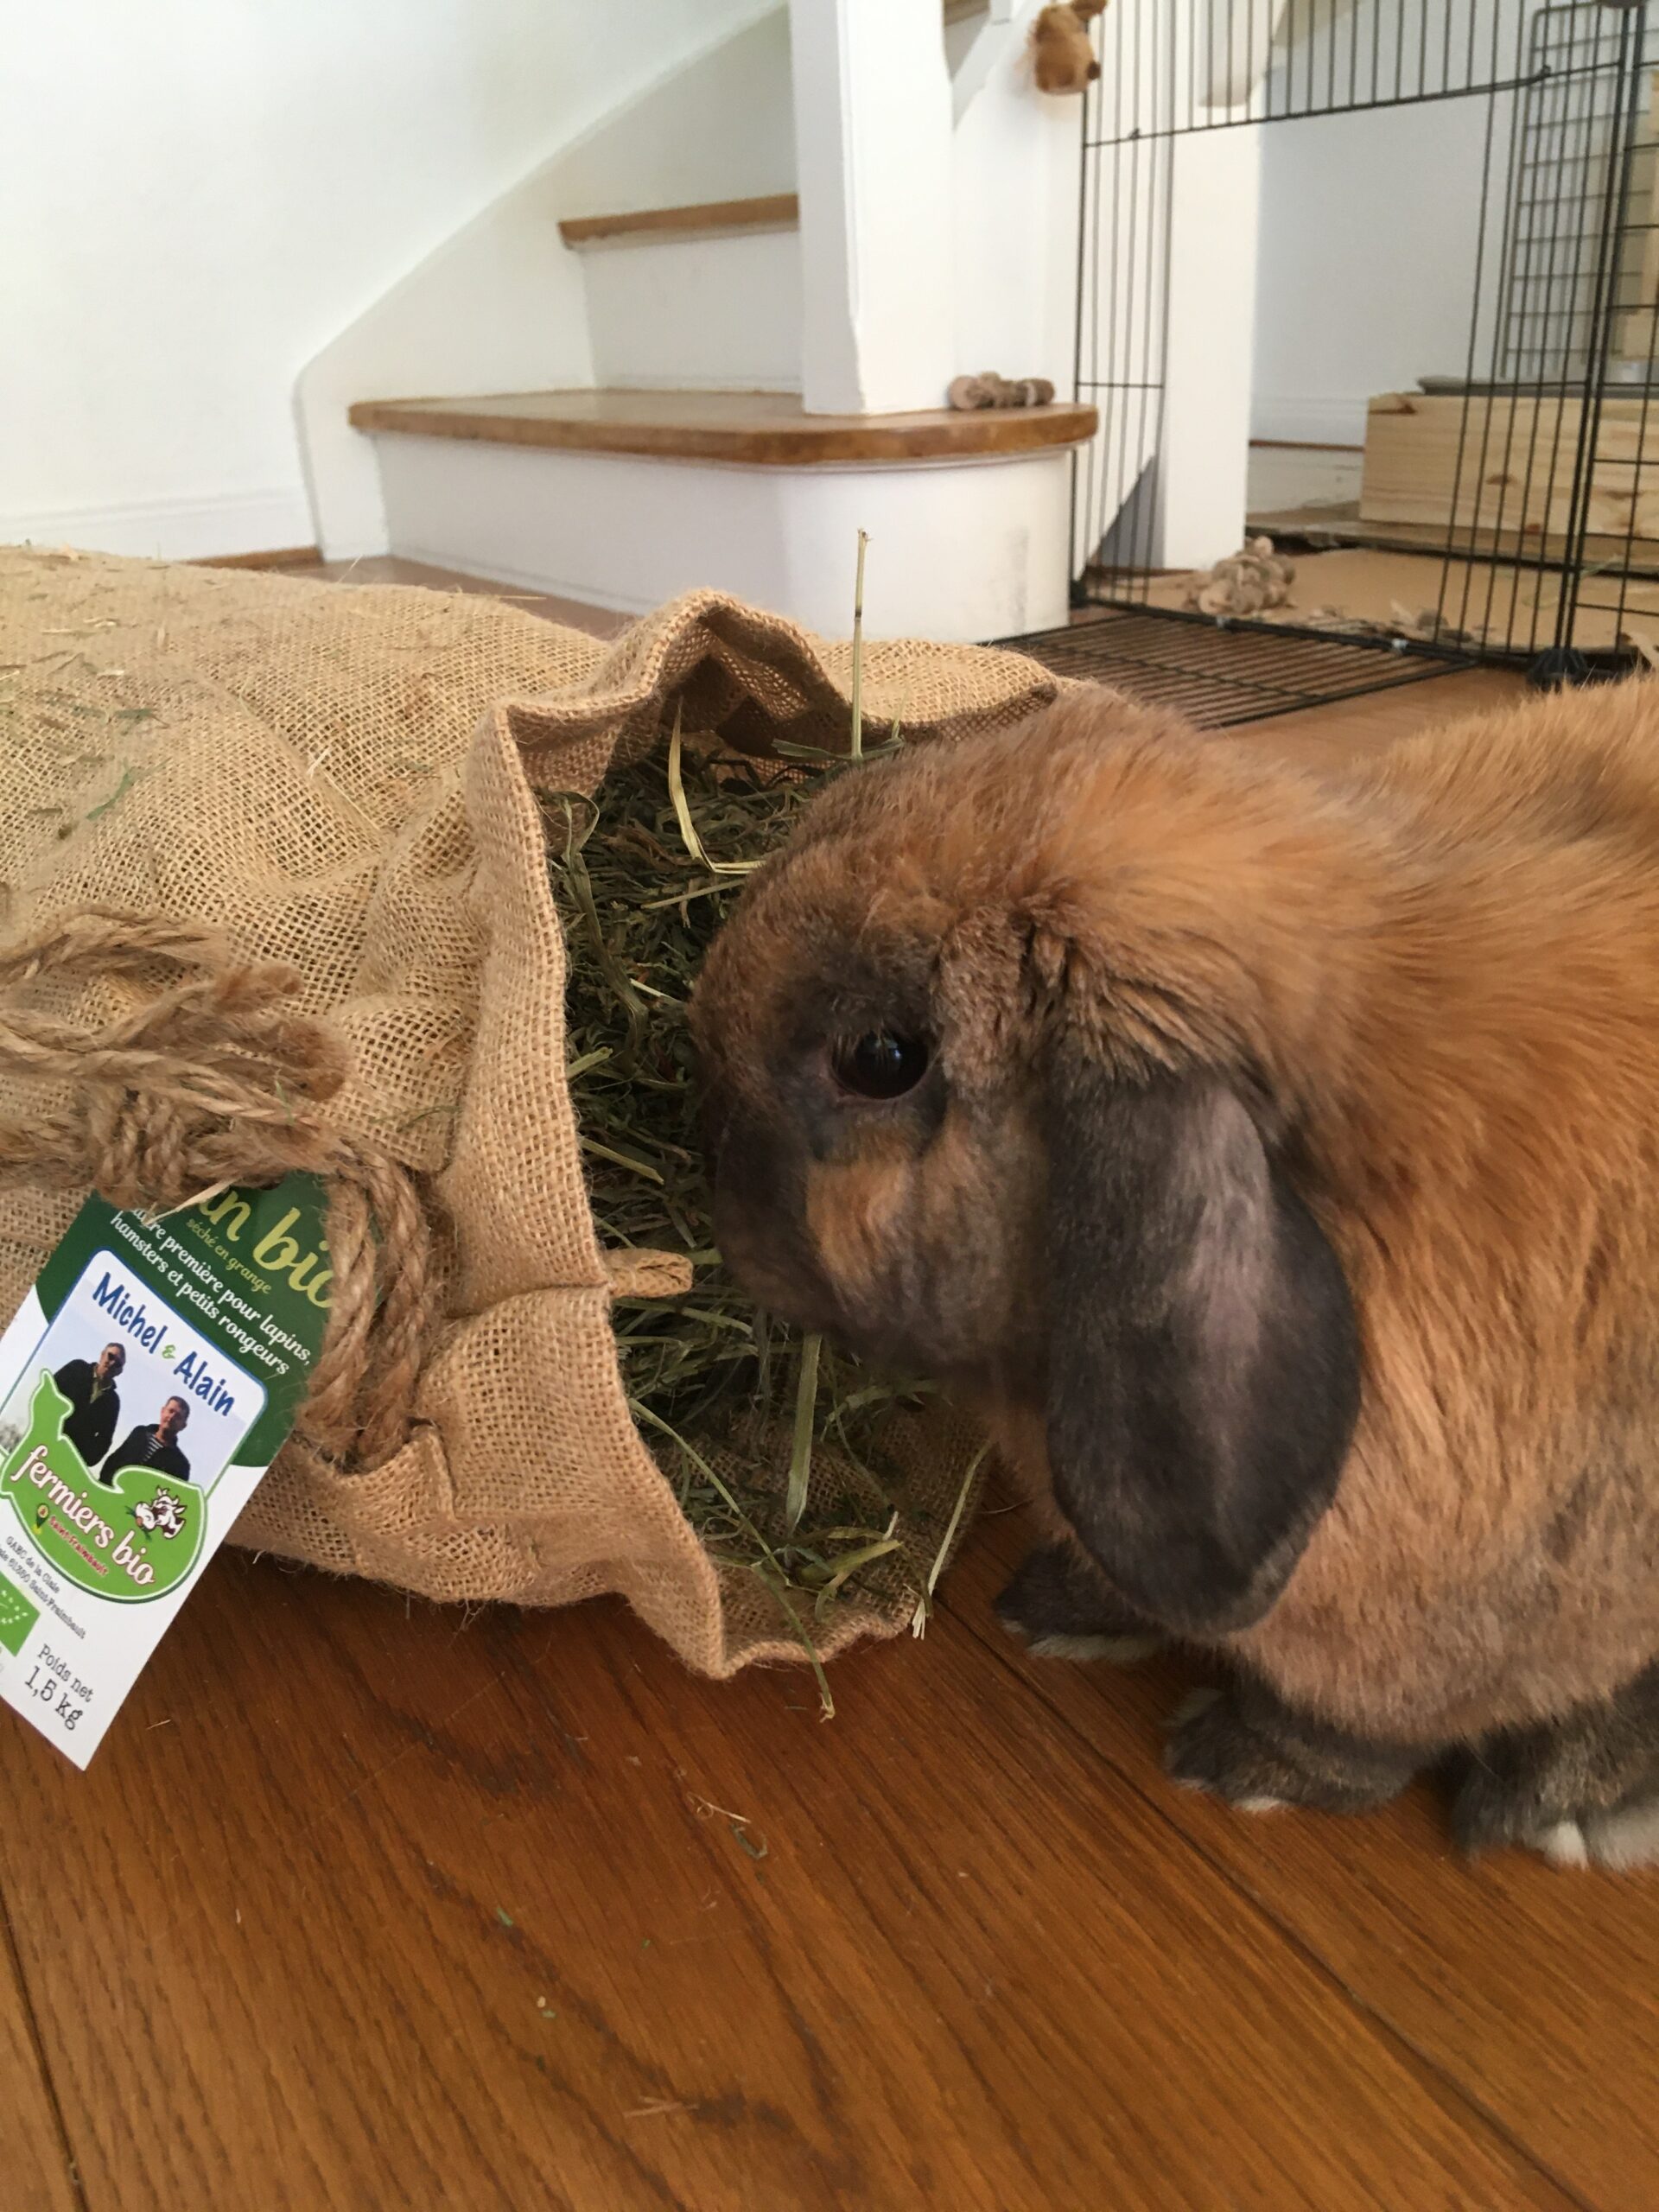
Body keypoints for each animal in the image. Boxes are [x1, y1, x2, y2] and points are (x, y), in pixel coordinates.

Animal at [688, 678, 1659, 1867]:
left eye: (884, 1058)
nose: (704, 1150)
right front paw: (1050, 1607)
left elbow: (1353, 1735)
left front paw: (1234, 1765)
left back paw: (1556, 1805)